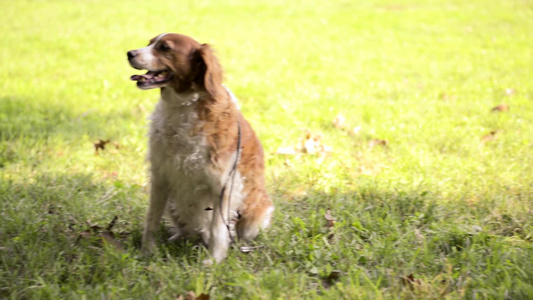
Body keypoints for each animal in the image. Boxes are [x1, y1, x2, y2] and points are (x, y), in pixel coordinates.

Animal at [127, 32, 272, 262]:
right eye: (149, 43)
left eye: (165, 47)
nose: (129, 53)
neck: (182, 107)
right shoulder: (160, 176)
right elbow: (151, 219)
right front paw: (147, 251)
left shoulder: (223, 184)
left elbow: (218, 229)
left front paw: (213, 260)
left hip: (254, 216)